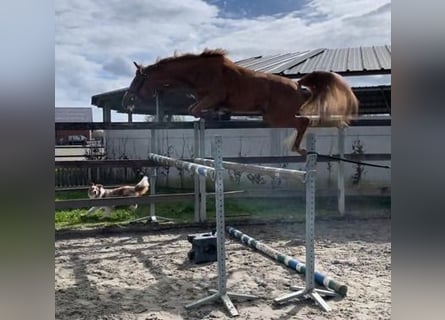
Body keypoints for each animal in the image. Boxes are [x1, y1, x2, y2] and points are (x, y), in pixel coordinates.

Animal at [121, 48, 358, 155]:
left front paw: (214, 115)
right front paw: (215, 115)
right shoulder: (206, 99)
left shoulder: (212, 97)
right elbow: (193, 109)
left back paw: (298, 149)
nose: (127, 100)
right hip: (275, 117)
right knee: (305, 121)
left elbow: (196, 110)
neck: (199, 72)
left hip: (277, 117)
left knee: (304, 122)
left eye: (138, 79)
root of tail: (298, 84)